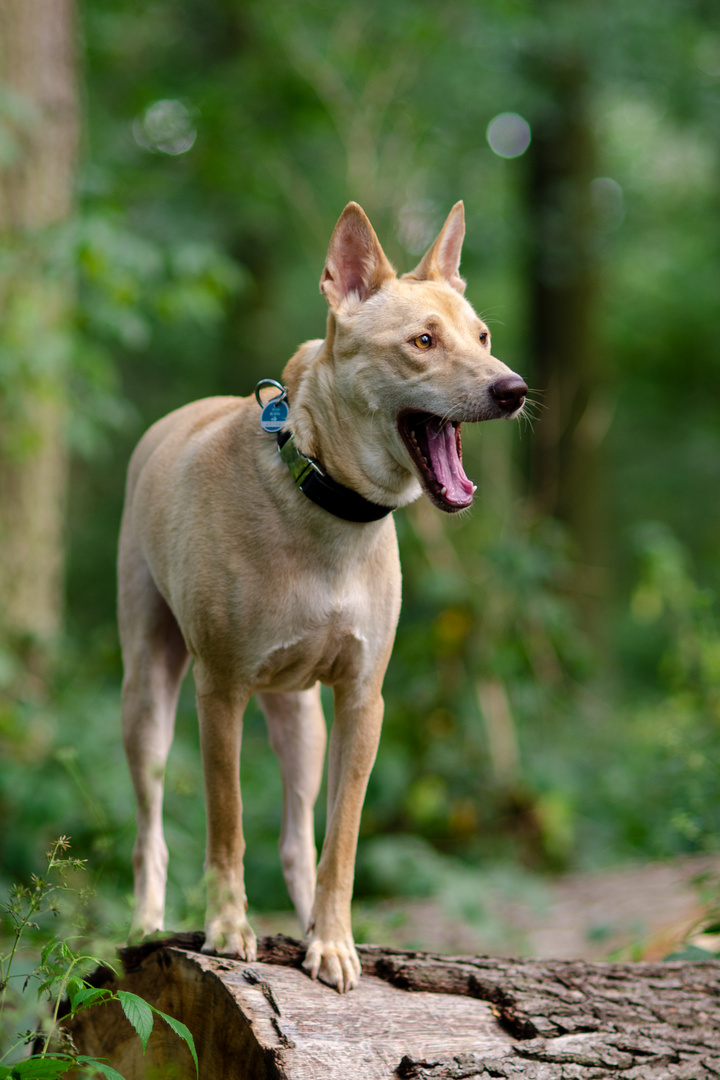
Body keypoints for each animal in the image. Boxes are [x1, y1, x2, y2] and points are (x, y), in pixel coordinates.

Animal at [117, 198, 524, 989]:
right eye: (423, 341)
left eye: (483, 336)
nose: (513, 389)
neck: (329, 511)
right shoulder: (220, 692)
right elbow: (226, 823)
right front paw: (228, 929)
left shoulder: (362, 700)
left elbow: (341, 839)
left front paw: (332, 942)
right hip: (147, 693)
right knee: (150, 827)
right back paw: (146, 925)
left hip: (300, 721)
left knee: (298, 837)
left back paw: (307, 921)